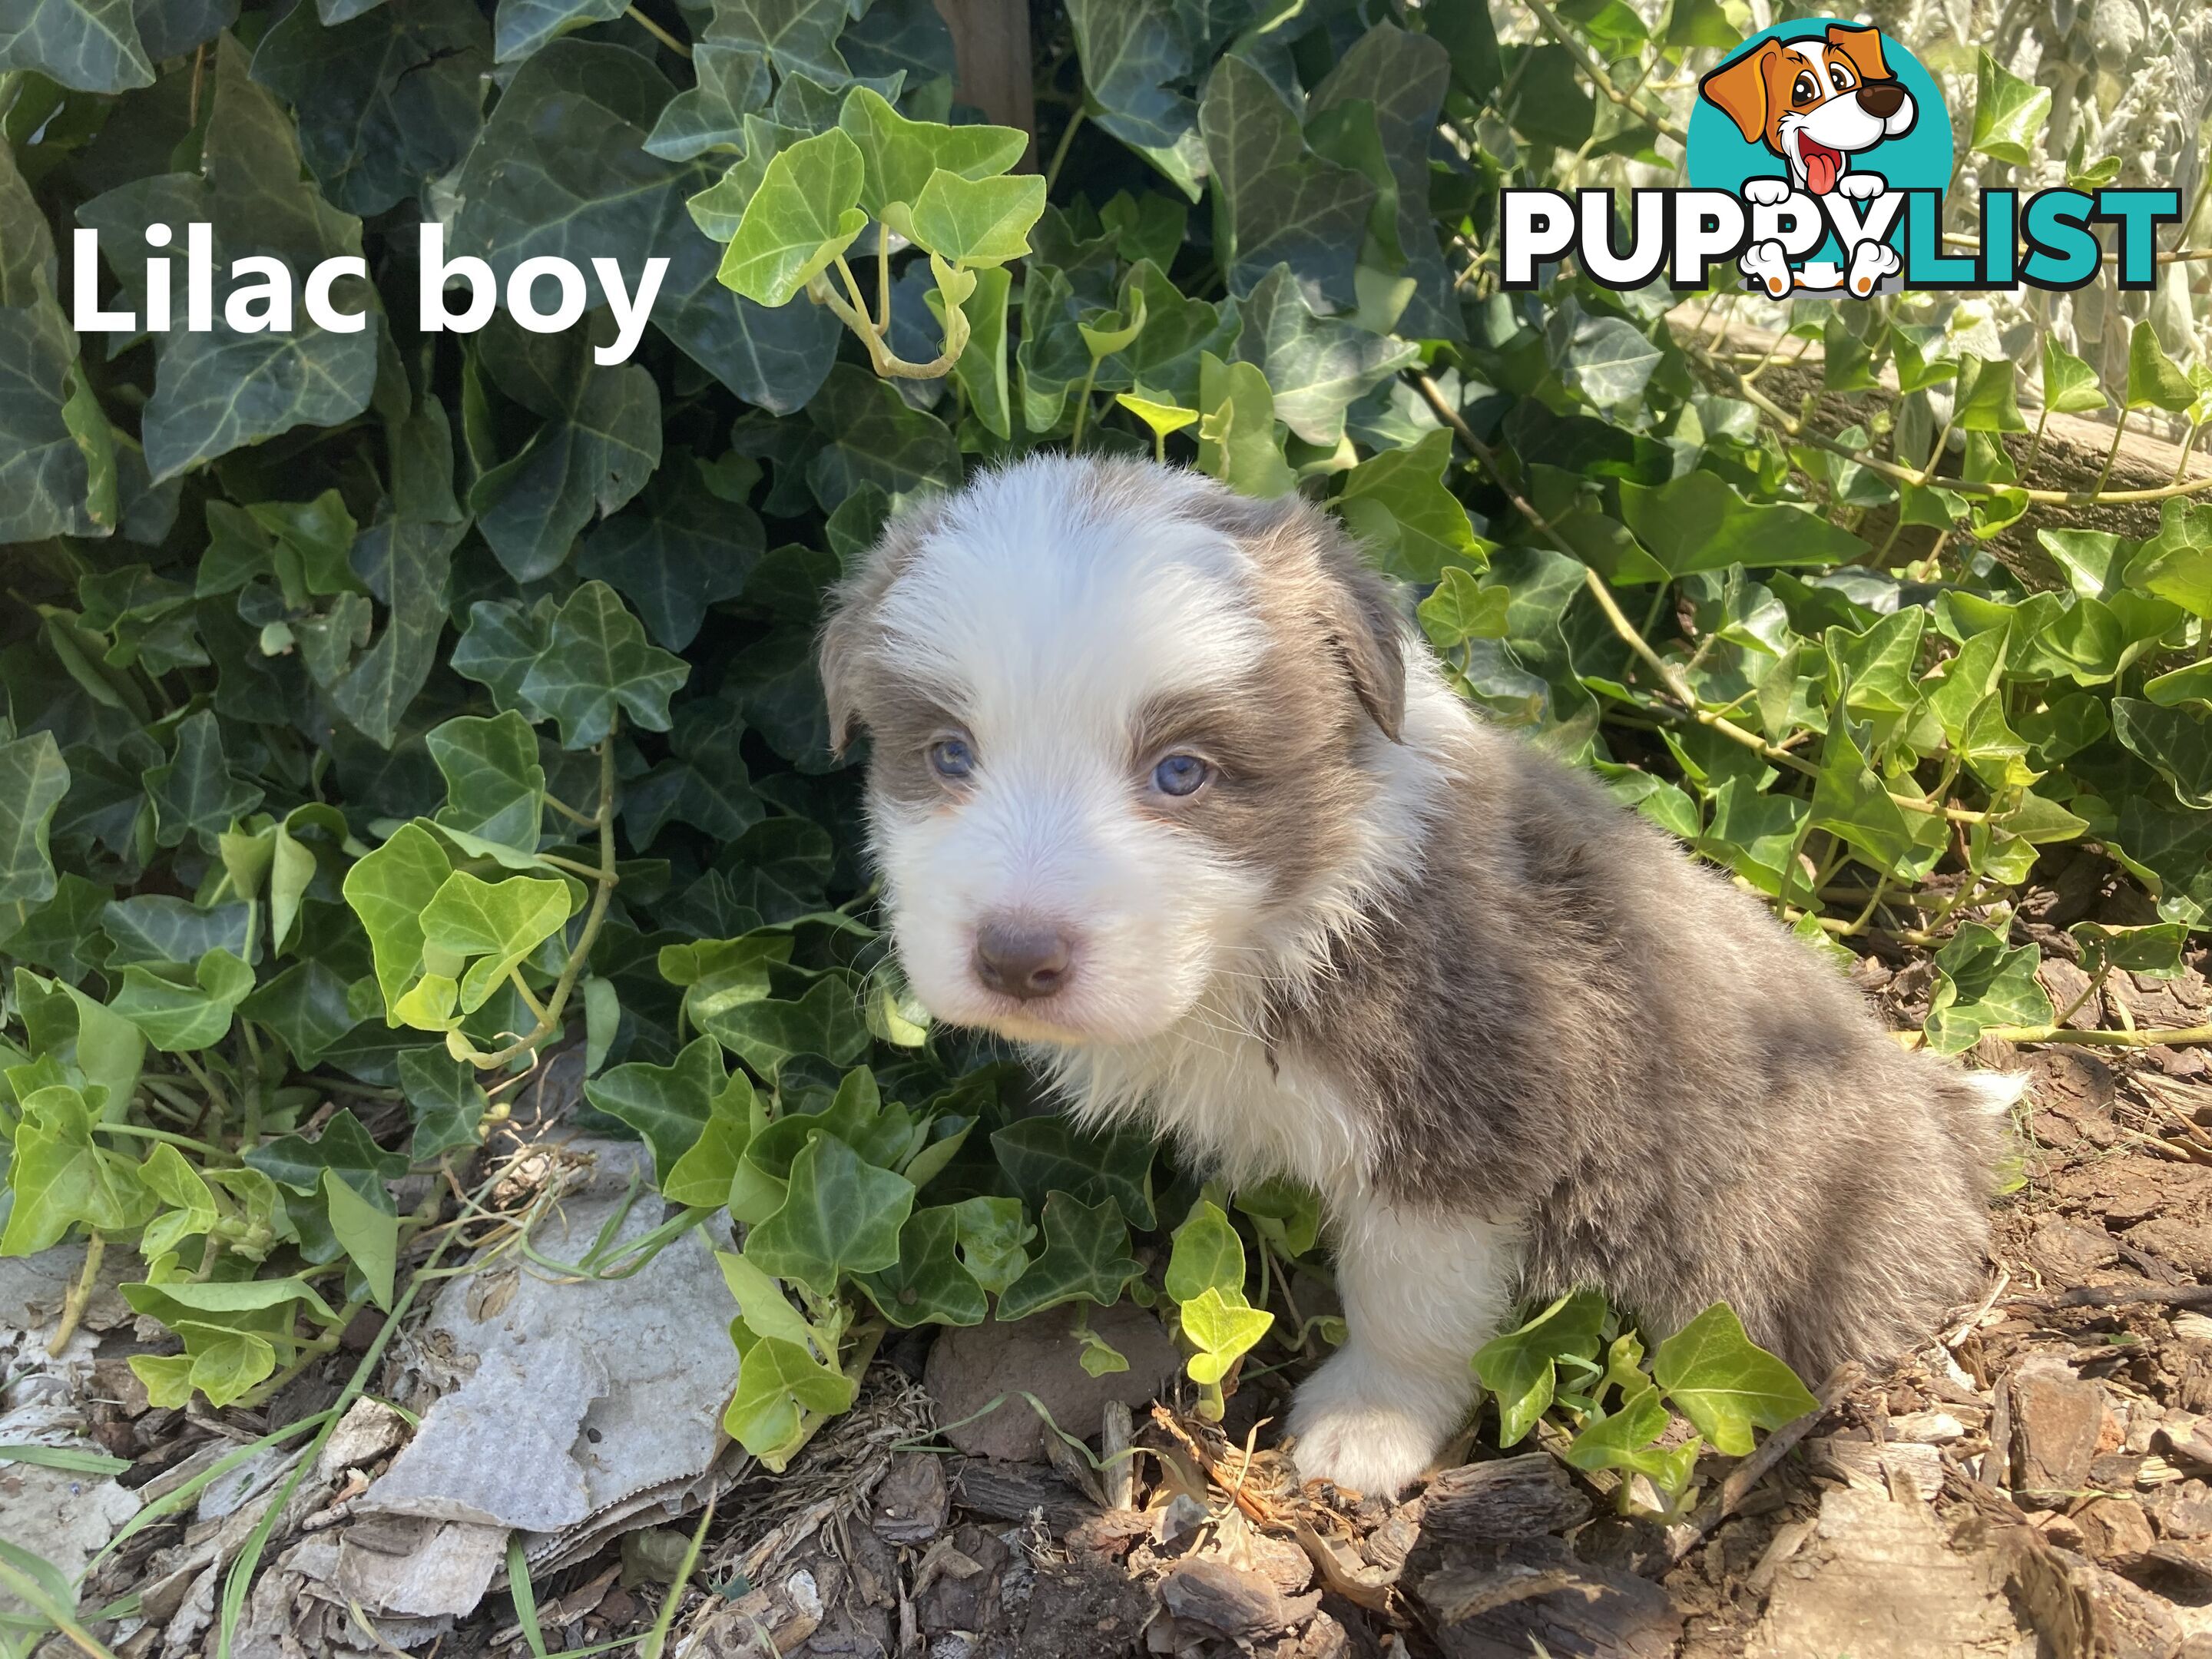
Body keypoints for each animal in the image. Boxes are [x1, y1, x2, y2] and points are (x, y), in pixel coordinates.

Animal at [818, 458, 2026, 1504]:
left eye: (1181, 773)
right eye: (949, 755)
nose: (1016, 957)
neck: (1284, 927)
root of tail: (1939, 1110)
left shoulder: (1472, 1110)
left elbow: (1410, 1299)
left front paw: (1366, 1428)